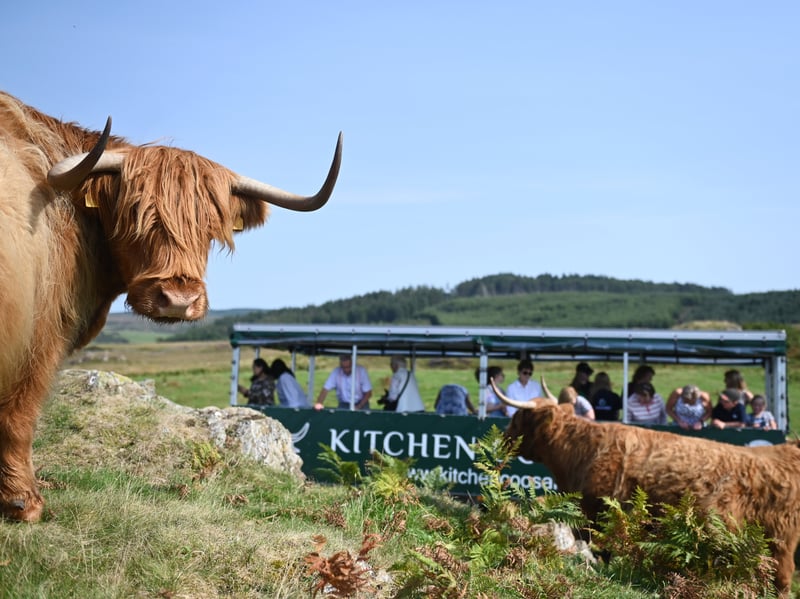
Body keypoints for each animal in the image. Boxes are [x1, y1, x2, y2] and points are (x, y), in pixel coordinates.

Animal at [0, 91, 342, 522]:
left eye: (210, 228)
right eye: (135, 215)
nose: (179, 301)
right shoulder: (40, 333)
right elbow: (20, 412)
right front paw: (22, 501)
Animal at [491, 378, 800, 596]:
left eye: (517, 418)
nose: (503, 439)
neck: (582, 451)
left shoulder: (596, 510)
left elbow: (600, 552)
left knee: (779, 578)